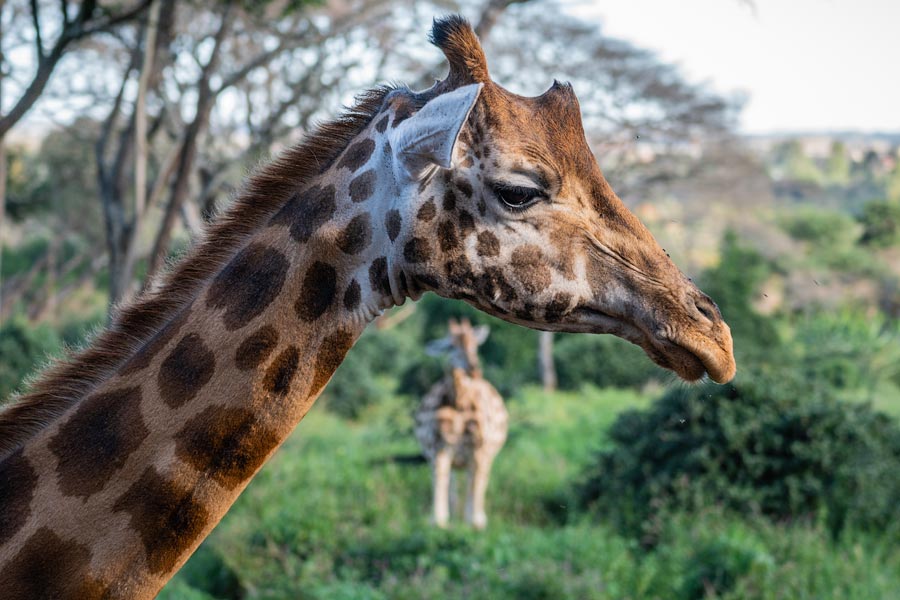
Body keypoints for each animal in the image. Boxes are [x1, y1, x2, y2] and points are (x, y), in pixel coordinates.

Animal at [415, 318, 508, 529]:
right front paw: (439, 521)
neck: (459, 402)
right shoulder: (438, 447)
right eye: (450, 346)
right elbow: (440, 480)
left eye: (475, 345)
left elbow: (476, 484)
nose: (474, 368)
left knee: (478, 479)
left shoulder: (479, 449)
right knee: (452, 481)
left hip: (485, 455)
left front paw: (475, 522)